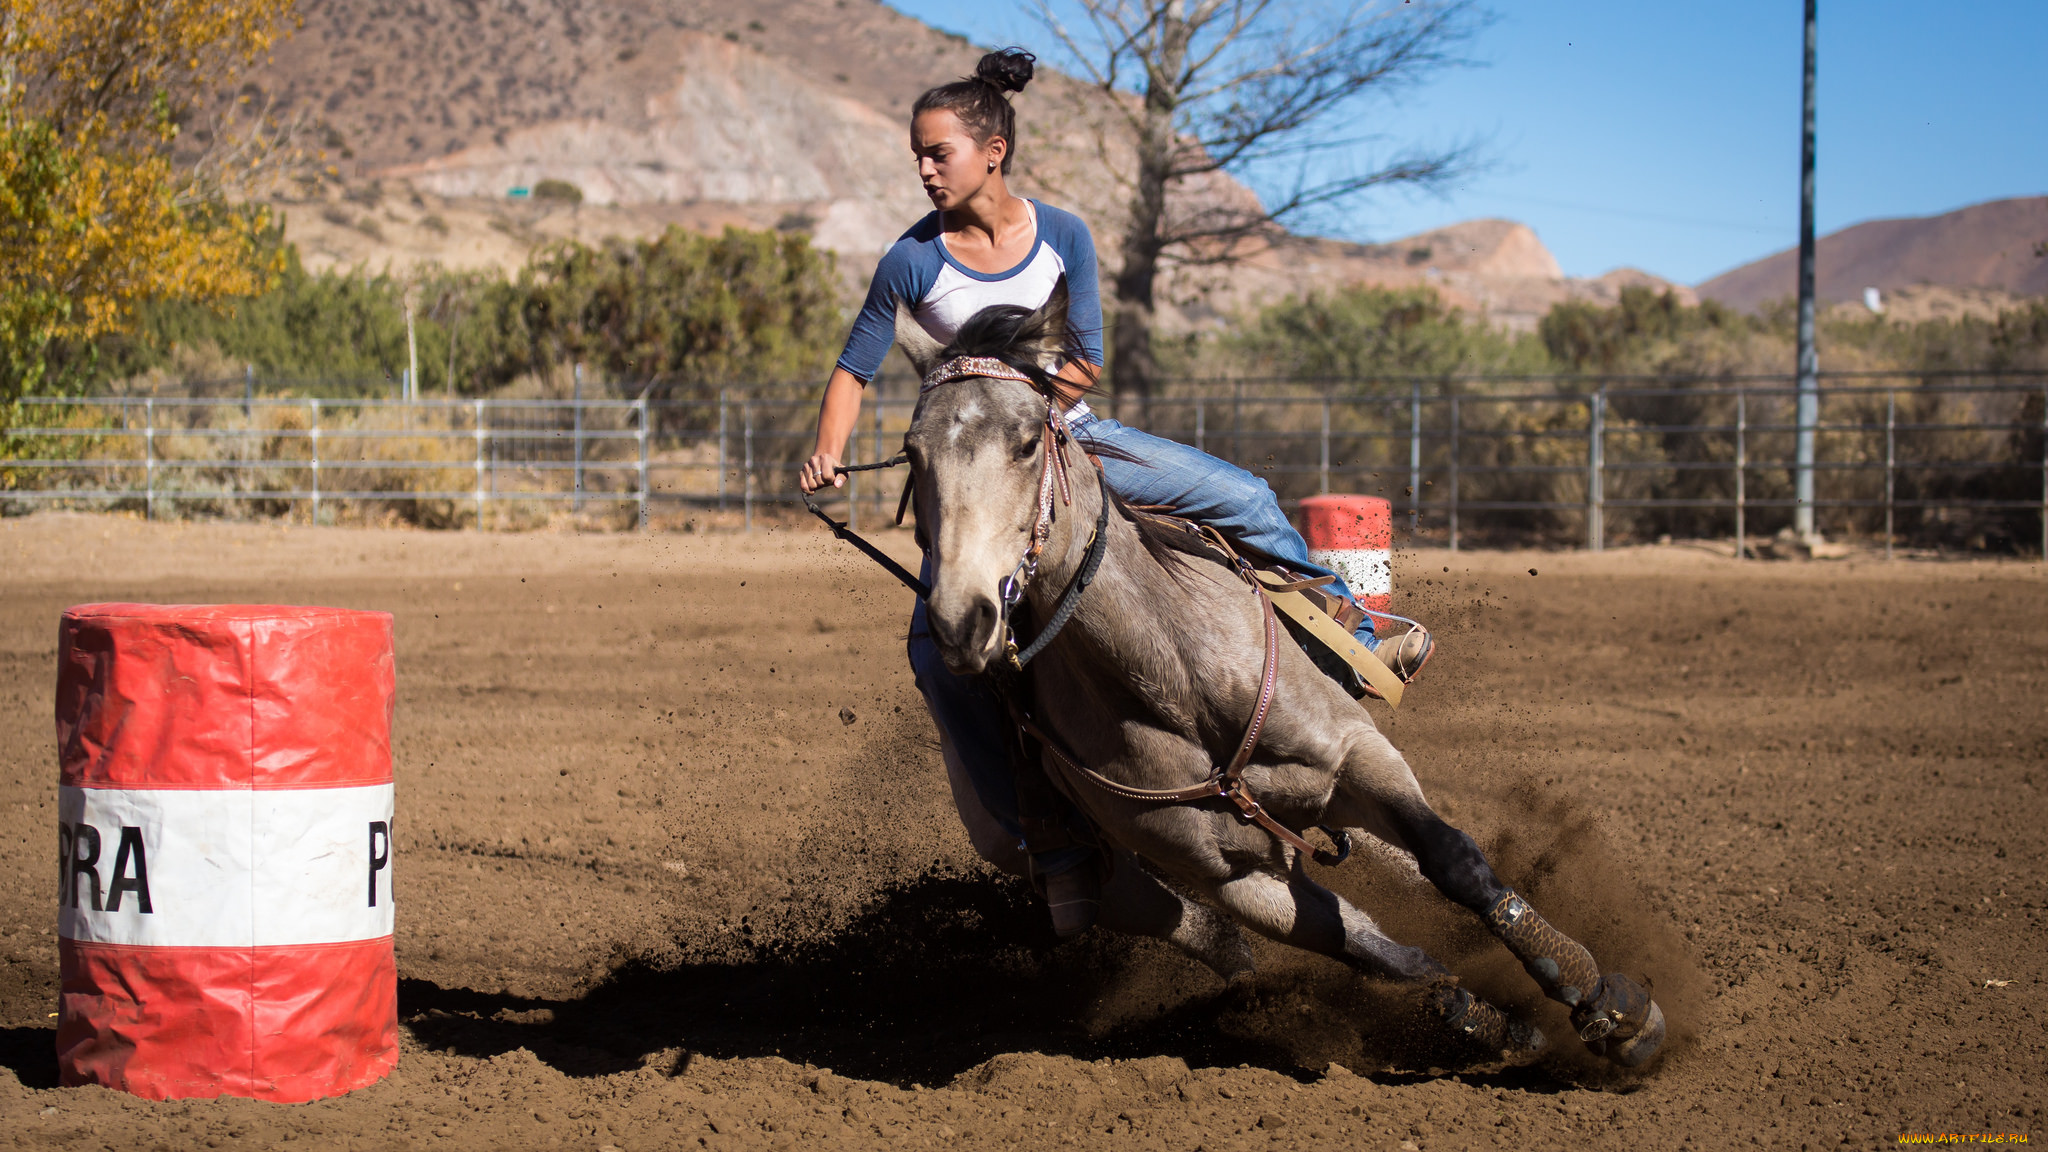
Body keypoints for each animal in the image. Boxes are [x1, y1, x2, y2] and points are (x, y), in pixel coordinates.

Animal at [892, 278, 1662, 1065]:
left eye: (1024, 443)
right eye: (912, 455)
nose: (963, 620)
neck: (1168, 680)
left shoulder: (1358, 755)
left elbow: (1452, 859)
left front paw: (1610, 1004)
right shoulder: (1237, 879)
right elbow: (1378, 953)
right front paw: (1490, 1016)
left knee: (1408, 867)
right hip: (1095, 869)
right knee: (1216, 933)